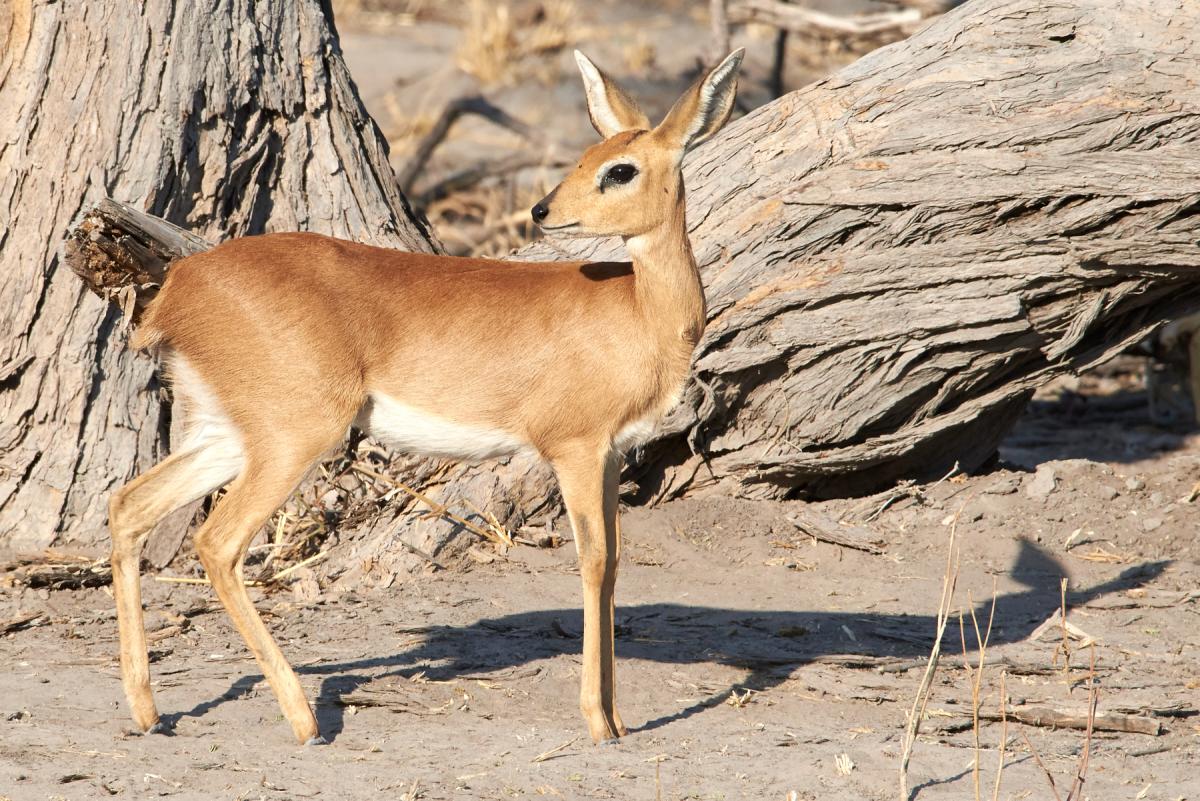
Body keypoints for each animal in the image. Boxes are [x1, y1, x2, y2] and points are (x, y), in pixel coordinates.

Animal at [108, 48, 744, 745]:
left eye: (618, 166)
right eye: (593, 157)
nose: (543, 211)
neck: (635, 308)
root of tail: (181, 287)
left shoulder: (609, 455)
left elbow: (616, 563)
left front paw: (619, 719)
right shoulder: (576, 450)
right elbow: (594, 561)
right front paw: (598, 724)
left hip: (228, 435)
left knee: (129, 505)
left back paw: (148, 712)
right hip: (292, 438)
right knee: (217, 543)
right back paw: (305, 721)